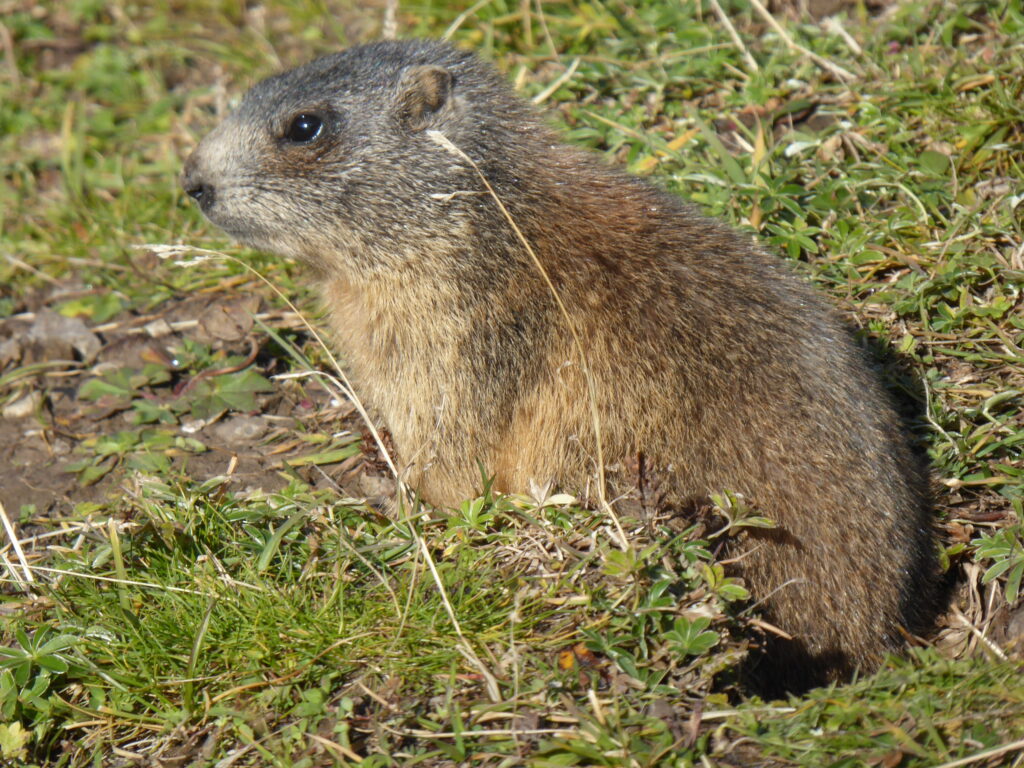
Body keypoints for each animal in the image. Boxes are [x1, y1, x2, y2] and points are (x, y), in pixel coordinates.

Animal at [182, 38, 938, 693]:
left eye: (304, 126)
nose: (191, 181)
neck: (468, 213)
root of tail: (871, 636)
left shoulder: (454, 326)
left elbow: (453, 454)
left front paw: (382, 489)